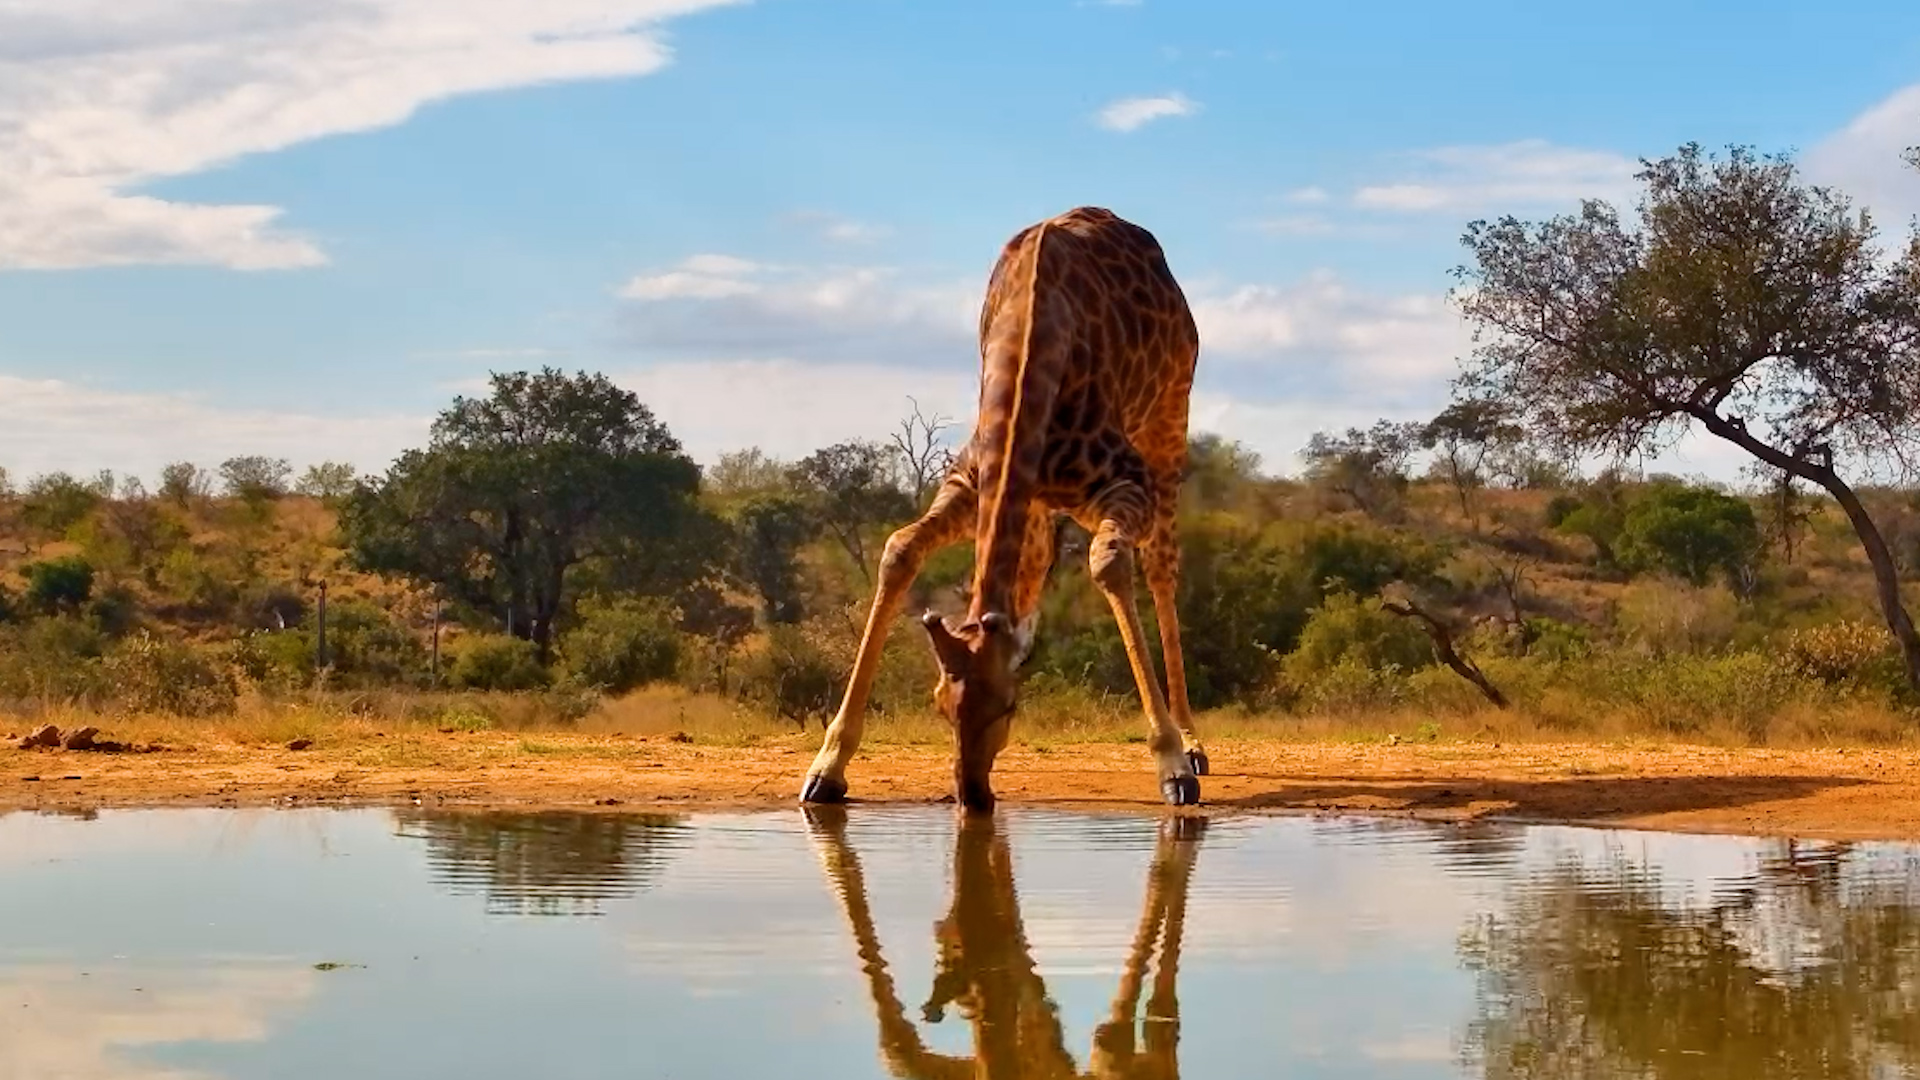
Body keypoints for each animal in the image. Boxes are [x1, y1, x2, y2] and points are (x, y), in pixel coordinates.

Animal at [800, 206, 1209, 813]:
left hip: (1167, 421)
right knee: (1030, 576)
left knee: (1161, 566)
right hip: (1037, 508)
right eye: (939, 704)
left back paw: (1192, 741)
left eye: (1008, 707)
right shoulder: (970, 481)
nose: (972, 795)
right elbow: (899, 550)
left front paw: (1172, 765)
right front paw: (827, 767)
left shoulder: (1124, 480)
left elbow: (1109, 563)